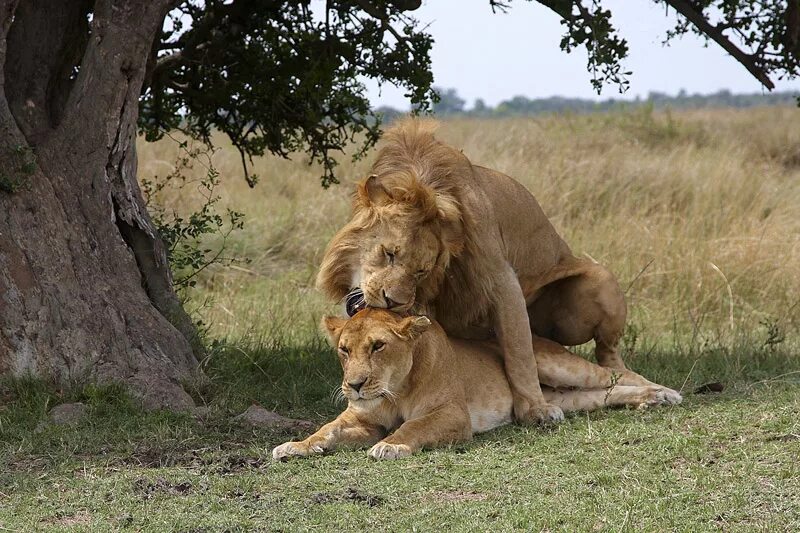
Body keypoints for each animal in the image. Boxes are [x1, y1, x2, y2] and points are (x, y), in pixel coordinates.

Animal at [270, 310, 680, 460]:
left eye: (378, 346)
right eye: (344, 349)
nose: (354, 385)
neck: (394, 390)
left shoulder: (453, 414)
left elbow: (414, 426)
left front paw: (390, 446)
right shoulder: (361, 419)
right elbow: (327, 430)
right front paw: (296, 446)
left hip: (552, 363)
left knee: (619, 375)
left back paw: (665, 393)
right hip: (565, 397)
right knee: (605, 394)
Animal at [316, 117, 628, 424]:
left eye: (420, 271)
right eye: (389, 254)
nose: (394, 301)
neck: (419, 180)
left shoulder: (502, 278)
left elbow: (519, 351)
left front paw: (535, 409)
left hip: (599, 282)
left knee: (605, 350)